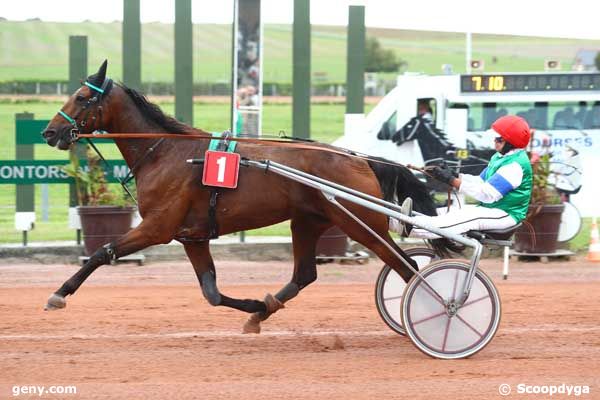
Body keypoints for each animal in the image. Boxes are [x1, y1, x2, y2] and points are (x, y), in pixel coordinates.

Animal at [41, 61, 454, 332]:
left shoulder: (158, 227)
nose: (50, 132)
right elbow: (210, 291)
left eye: (81, 96)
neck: (165, 152)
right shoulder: (192, 237)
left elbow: (102, 252)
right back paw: (264, 311)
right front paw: (256, 304)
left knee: (408, 268)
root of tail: (361, 159)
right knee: (305, 274)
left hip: (362, 225)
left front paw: (59, 294)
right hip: (308, 221)